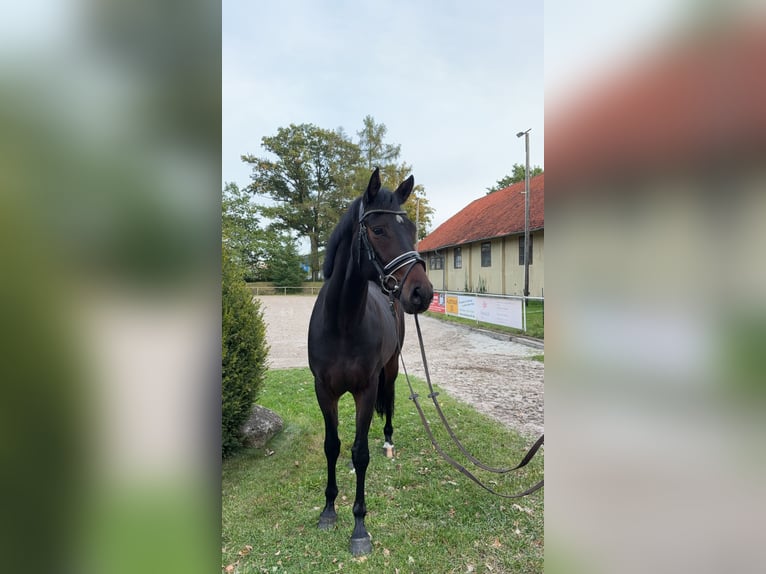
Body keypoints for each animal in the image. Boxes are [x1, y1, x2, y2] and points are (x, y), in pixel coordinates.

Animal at [308, 169, 436, 556]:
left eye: (412, 229)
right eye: (378, 230)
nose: (422, 293)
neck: (343, 322)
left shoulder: (366, 388)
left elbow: (361, 451)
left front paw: (359, 527)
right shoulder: (325, 391)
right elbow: (333, 445)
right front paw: (329, 510)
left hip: (389, 369)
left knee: (389, 402)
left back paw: (389, 441)